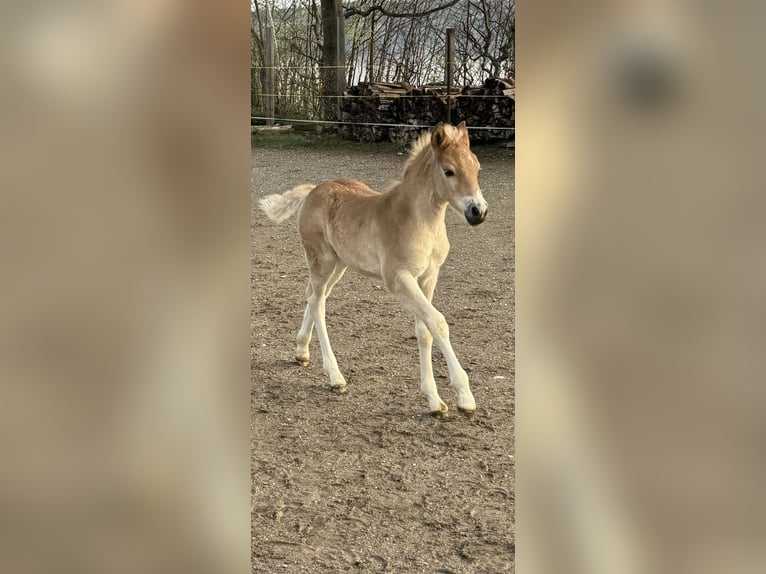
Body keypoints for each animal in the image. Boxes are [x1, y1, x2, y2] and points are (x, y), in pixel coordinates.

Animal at [260, 121, 488, 418]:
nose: (478, 211)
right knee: (318, 303)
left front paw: (434, 400)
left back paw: (301, 351)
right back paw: (335, 376)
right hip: (322, 260)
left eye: (477, 167)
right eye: (448, 171)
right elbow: (437, 322)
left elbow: (425, 329)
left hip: (339, 264)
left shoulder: (428, 277)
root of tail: (312, 190)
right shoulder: (398, 278)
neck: (419, 222)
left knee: (312, 295)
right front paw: (464, 397)